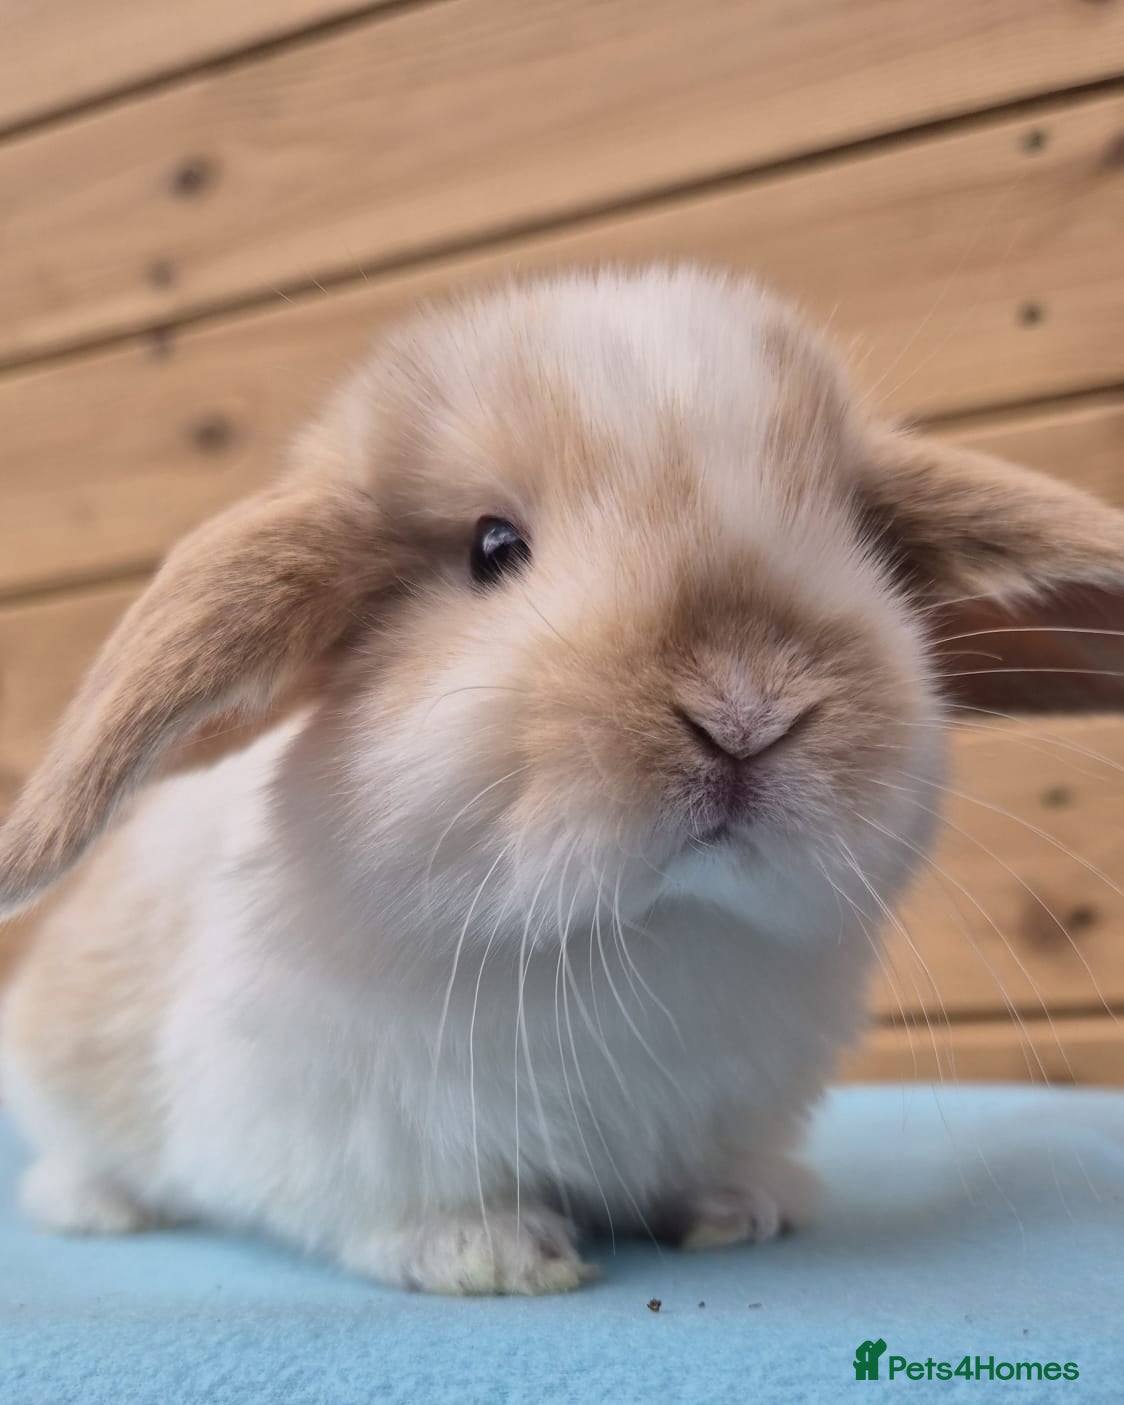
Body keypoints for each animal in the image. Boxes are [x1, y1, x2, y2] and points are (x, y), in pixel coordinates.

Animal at [1, 266, 1122, 1296]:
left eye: (865, 542)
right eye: (491, 548)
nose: (744, 712)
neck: (646, 933)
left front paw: (743, 1209)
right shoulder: (325, 1122)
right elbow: (397, 1204)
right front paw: (491, 1255)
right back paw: (96, 1205)